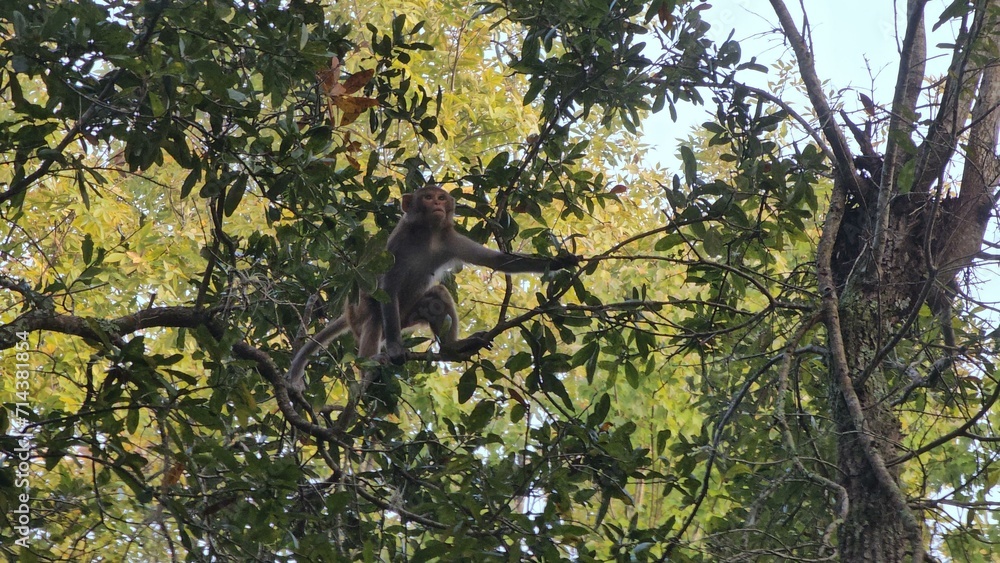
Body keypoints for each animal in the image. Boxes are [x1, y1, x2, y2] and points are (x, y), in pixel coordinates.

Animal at [286, 184, 578, 394]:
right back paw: (369, 364)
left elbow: (497, 261)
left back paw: (452, 347)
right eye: (427, 197)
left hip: (409, 318)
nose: (438, 203)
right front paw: (394, 348)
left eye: (440, 197)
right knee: (375, 316)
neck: (427, 234)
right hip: (366, 318)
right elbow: (386, 287)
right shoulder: (398, 242)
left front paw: (558, 261)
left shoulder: (449, 239)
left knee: (436, 298)